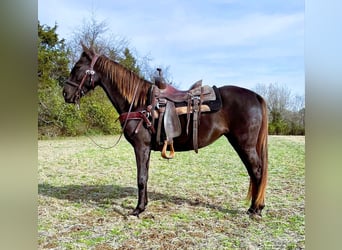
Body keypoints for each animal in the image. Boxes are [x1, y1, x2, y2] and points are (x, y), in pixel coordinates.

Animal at [62, 44, 268, 218]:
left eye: (78, 67)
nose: (65, 94)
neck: (138, 103)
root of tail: (255, 96)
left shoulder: (141, 146)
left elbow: (141, 178)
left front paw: (137, 210)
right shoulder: (146, 148)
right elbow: (145, 176)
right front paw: (144, 205)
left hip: (244, 144)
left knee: (256, 171)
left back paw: (255, 209)